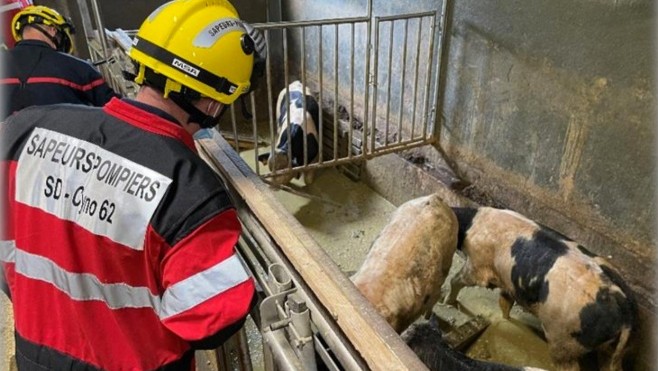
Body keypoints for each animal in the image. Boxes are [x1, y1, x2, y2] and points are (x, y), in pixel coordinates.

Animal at [444, 208, 632, 370]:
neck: (473, 224)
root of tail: (625, 314)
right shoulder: (509, 282)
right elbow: (505, 301)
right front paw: (506, 319)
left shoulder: (478, 266)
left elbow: (457, 280)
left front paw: (447, 302)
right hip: (610, 348)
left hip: (563, 341)